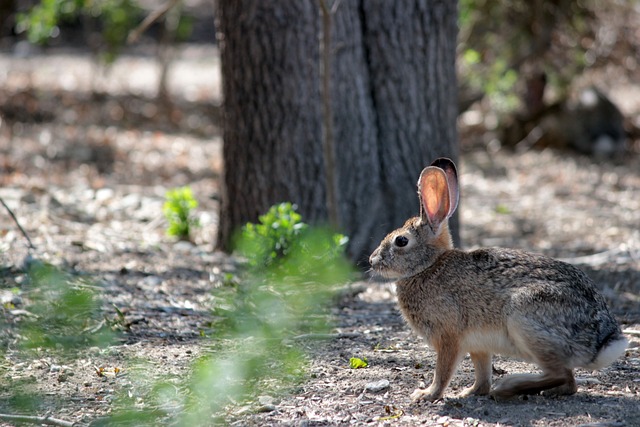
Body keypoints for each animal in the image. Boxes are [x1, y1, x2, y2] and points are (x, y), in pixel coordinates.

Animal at [368, 159, 628, 402]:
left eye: (401, 241)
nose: (372, 260)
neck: (429, 266)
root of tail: (601, 342)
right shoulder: (478, 345)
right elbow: (482, 372)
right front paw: (471, 392)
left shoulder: (449, 337)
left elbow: (443, 371)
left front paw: (427, 394)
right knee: (569, 381)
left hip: (524, 319)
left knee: (561, 373)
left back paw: (508, 387)